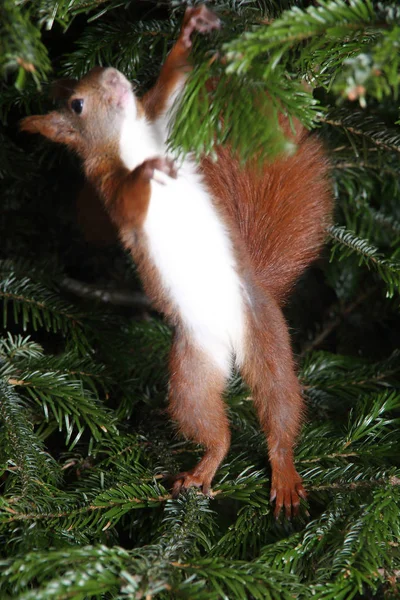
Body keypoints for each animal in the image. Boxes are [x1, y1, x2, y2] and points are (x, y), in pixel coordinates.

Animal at [22, 5, 334, 516]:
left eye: (97, 74)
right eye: (78, 105)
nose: (113, 75)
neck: (131, 140)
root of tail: (231, 349)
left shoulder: (160, 120)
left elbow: (170, 87)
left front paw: (188, 34)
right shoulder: (110, 193)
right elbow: (130, 197)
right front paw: (145, 173)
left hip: (266, 337)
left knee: (279, 410)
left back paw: (284, 472)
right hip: (192, 368)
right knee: (213, 426)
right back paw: (205, 469)